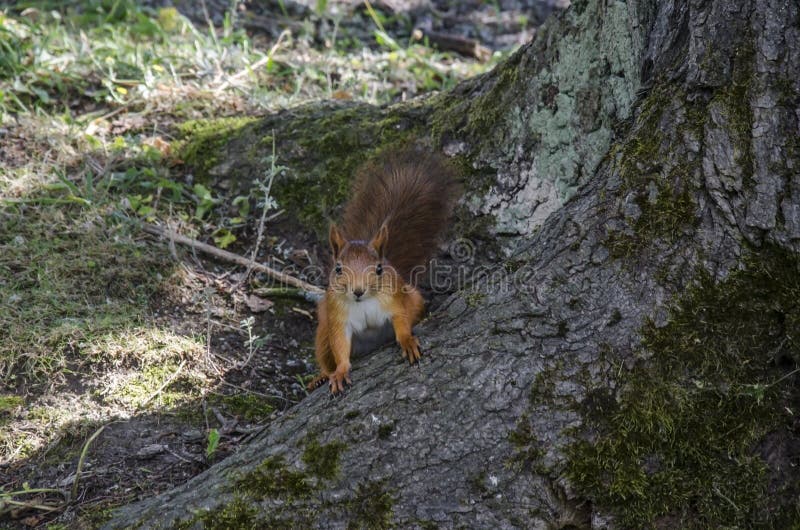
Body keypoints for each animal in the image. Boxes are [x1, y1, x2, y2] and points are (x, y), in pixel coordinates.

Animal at [308, 147, 459, 394]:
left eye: (379, 269)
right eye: (338, 268)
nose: (358, 291)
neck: (364, 302)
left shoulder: (394, 301)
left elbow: (401, 321)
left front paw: (408, 341)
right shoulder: (338, 317)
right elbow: (340, 347)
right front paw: (340, 371)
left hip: (414, 298)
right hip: (322, 331)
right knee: (325, 355)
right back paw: (321, 376)